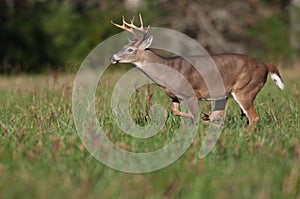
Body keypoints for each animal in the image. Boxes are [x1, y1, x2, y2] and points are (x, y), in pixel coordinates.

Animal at [110, 14, 284, 126]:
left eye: (131, 49)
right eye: (124, 46)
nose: (113, 57)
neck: (167, 72)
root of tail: (265, 64)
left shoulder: (192, 94)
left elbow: (194, 116)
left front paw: (201, 119)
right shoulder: (175, 96)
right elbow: (175, 111)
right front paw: (204, 116)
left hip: (245, 89)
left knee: (253, 118)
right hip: (227, 94)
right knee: (223, 114)